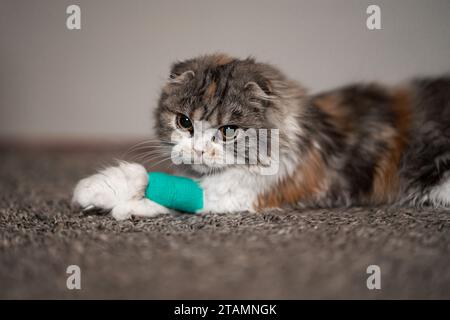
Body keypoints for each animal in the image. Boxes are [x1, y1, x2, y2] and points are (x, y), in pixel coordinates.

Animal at [73, 54, 450, 220]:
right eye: (184, 122)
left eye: (228, 131)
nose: (199, 151)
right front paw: (119, 202)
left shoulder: (261, 187)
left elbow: (178, 187)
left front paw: (104, 192)